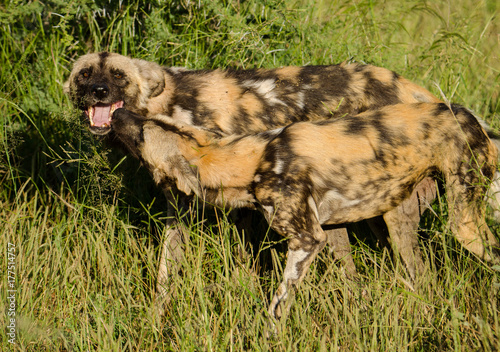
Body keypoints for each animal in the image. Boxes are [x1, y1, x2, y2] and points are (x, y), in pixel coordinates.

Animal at [65, 53, 446, 302]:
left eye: (118, 76)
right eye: (84, 74)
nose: (98, 91)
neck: (167, 104)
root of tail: (416, 91)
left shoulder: (237, 199)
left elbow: (241, 259)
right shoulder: (182, 209)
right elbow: (165, 271)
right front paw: (159, 318)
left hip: (389, 213)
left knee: (416, 271)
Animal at [109, 103, 500, 320]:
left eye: (142, 133)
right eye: (146, 117)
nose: (116, 112)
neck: (252, 163)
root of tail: (468, 113)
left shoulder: (308, 239)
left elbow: (278, 304)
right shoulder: (328, 231)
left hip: (464, 224)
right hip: (399, 225)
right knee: (422, 279)